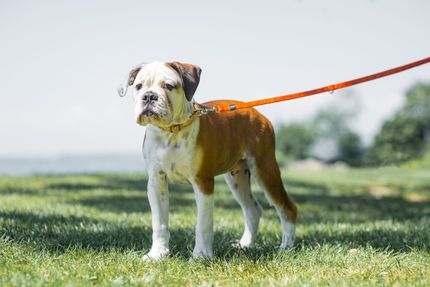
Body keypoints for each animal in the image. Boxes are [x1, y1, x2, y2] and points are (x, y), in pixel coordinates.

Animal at [119, 61, 298, 260]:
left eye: (169, 86)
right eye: (138, 86)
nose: (149, 96)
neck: (172, 131)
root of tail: (256, 112)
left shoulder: (202, 182)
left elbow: (203, 224)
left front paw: (201, 256)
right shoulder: (156, 182)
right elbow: (159, 223)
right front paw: (157, 254)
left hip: (264, 169)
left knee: (287, 208)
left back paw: (286, 247)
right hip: (237, 177)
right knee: (253, 209)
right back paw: (244, 245)